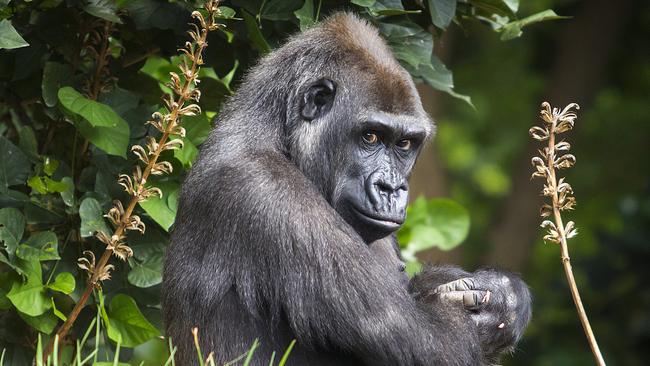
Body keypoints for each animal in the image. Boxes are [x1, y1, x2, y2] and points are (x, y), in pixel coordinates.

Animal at [161, 12, 528, 366]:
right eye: (370, 136)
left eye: (404, 144)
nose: (391, 187)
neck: (275, 131)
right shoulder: (265, 190)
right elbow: (432, 343)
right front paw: (501, 305)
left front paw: (506, 296)